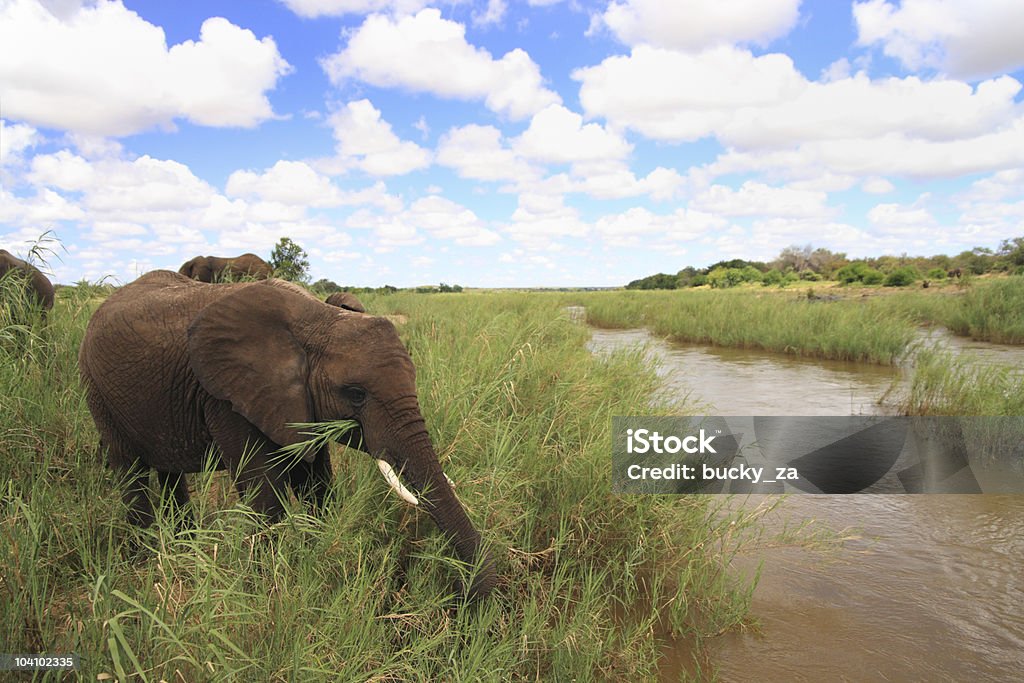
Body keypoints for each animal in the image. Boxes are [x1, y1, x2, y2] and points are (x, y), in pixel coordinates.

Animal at [78, 270, 495, 602]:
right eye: (355, 394)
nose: (463, 597)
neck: (318, 319)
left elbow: (317, 483)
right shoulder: (227, 397)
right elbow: (264, 494)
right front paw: (268, 591)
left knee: (169, 473)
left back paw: (183, 547)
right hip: (98, 390)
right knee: (130, 470)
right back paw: (145, 559)